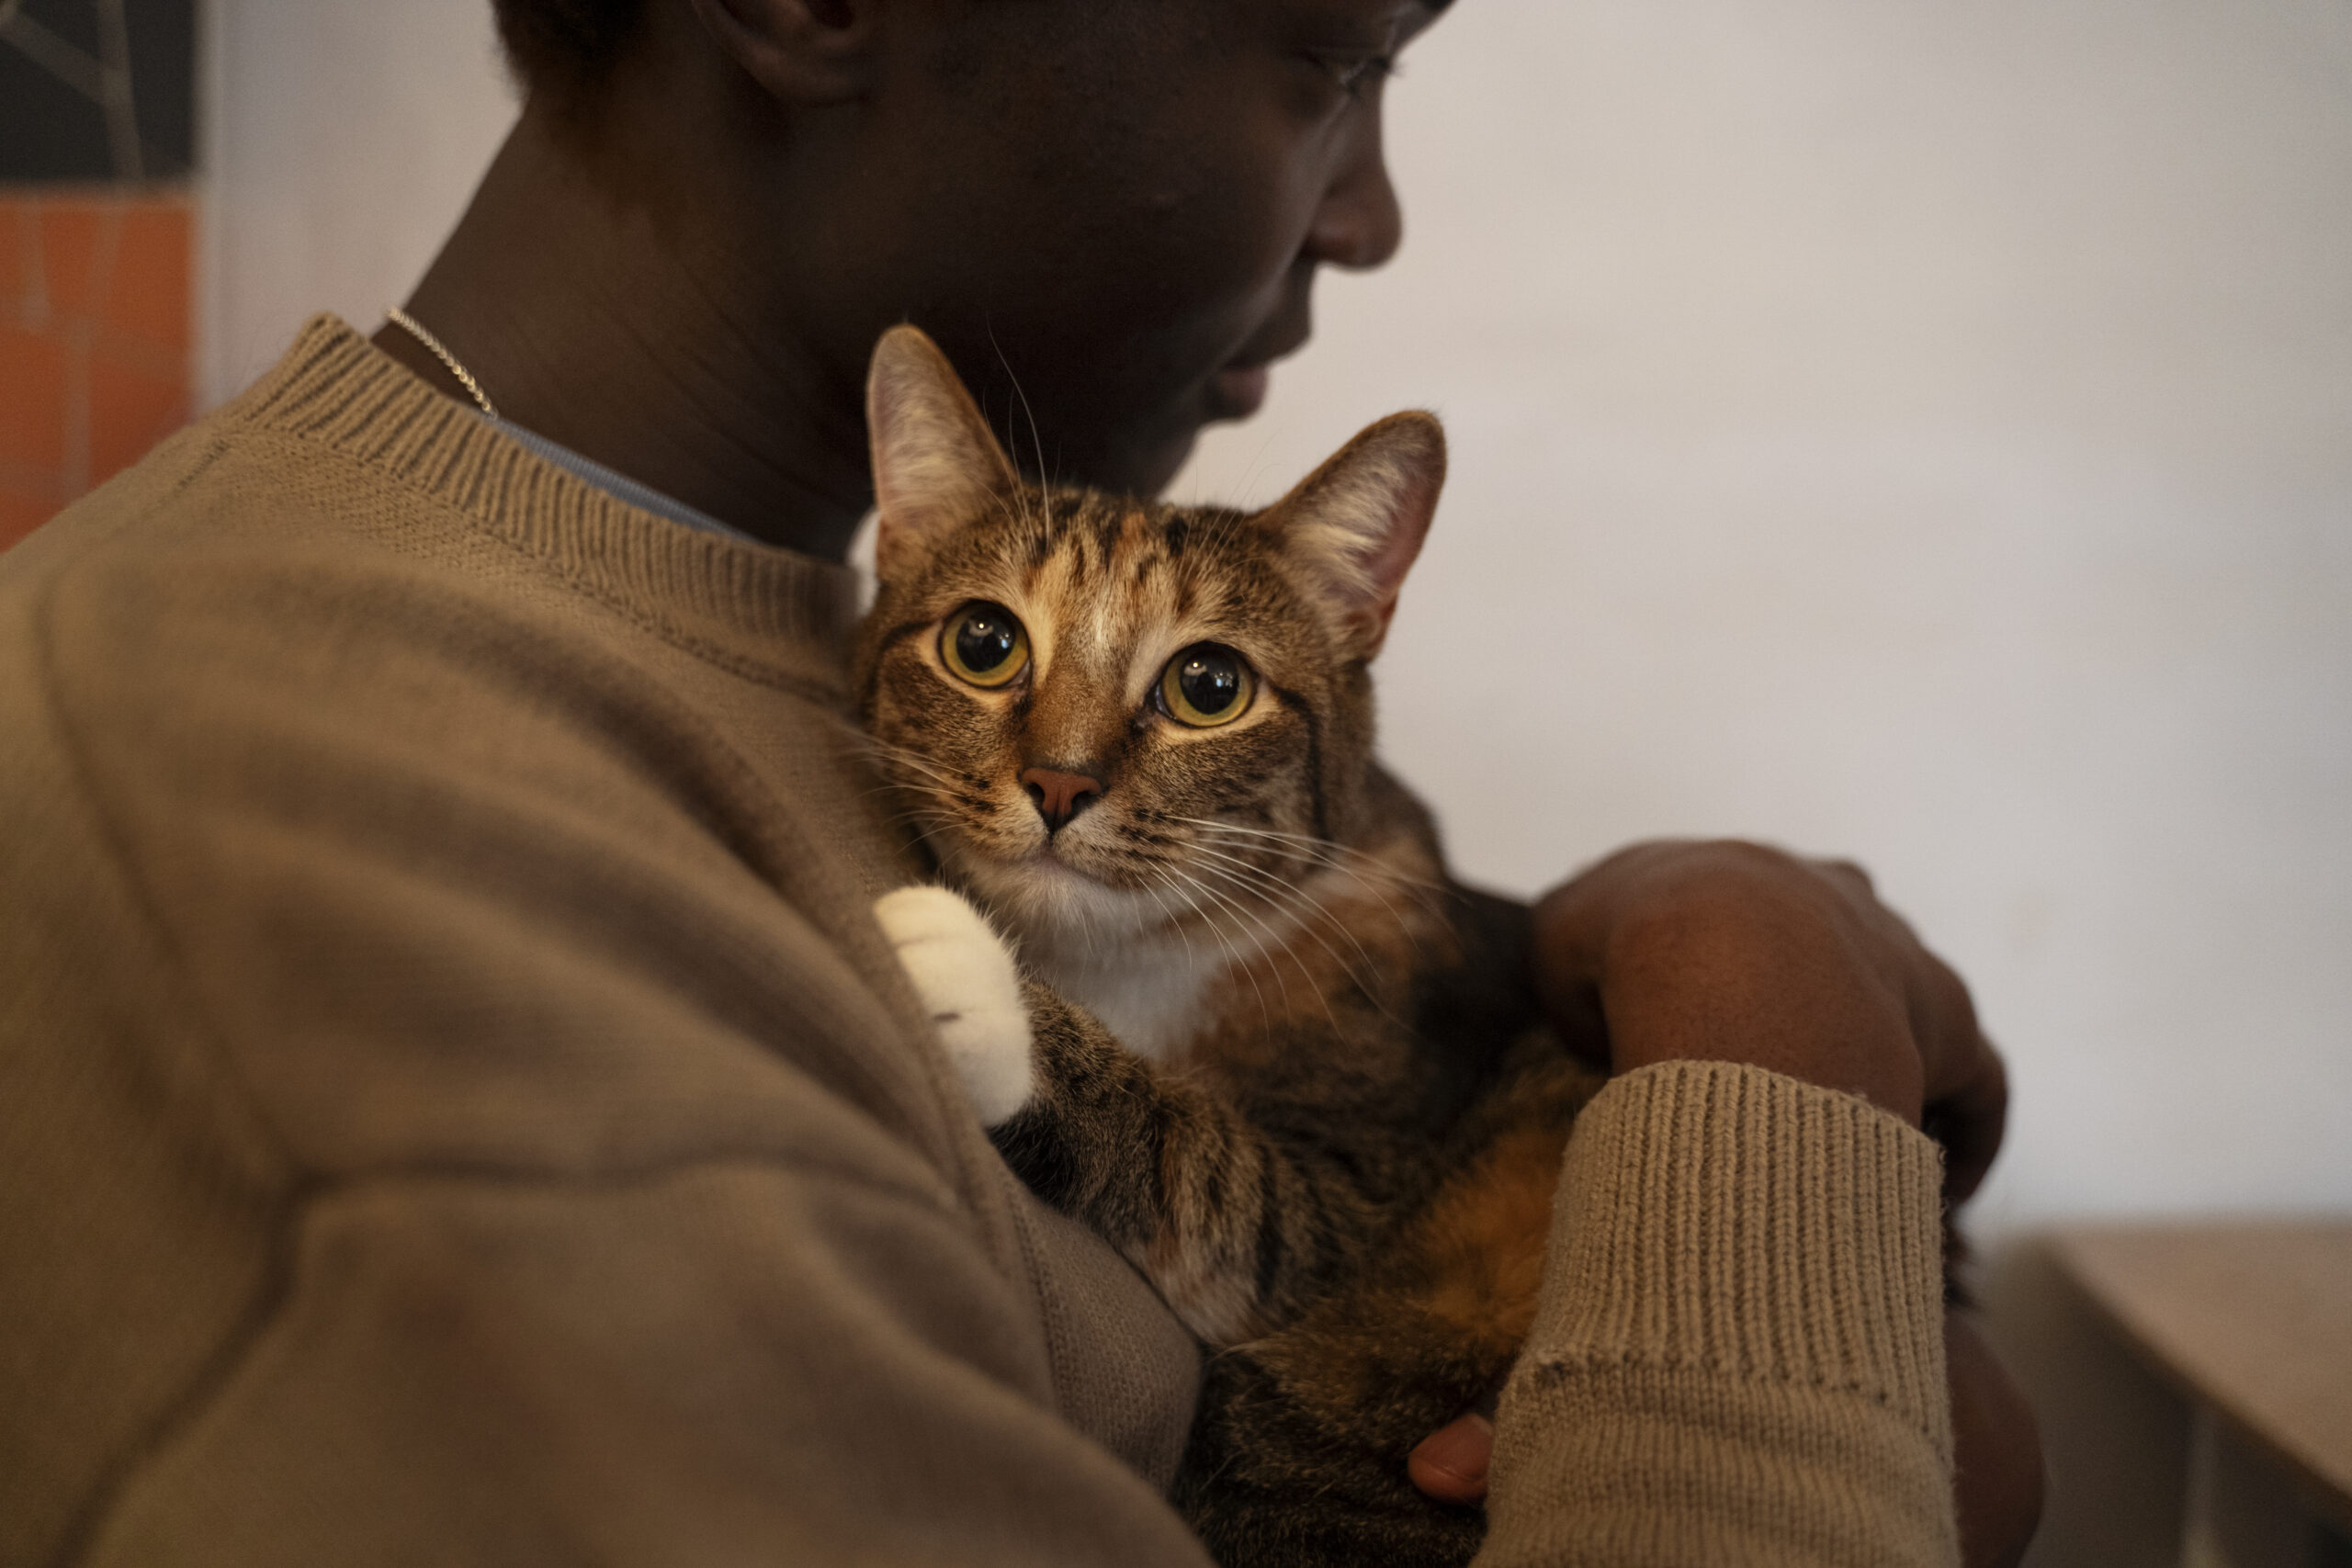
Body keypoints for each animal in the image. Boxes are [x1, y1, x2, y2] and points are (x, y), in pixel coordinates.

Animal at [846, 324, 1599, 1561]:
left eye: (1209, 686)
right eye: (982, 642)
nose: (1059, 783)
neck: (1125, 967)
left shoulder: (1357, 1204)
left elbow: (1202, 1160)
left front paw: (973, 988)